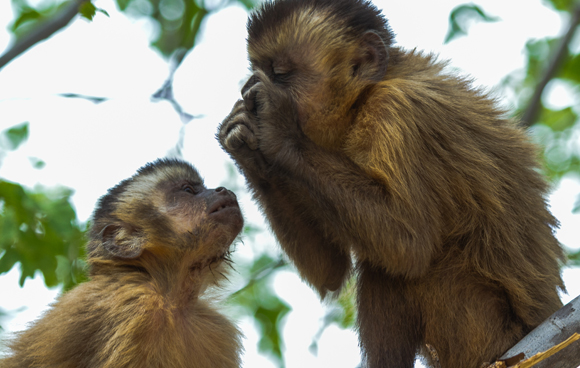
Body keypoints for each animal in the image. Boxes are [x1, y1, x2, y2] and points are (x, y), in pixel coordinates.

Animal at [216, 0, 560, 368]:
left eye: (280, 73)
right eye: (257, 69)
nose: (247, 89)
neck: (365, 98)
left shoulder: (402, 111)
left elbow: (408, 241)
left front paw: (276, 128)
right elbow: (330, 272)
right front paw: (244, 143)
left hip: (490, 332)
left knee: (400, 264)